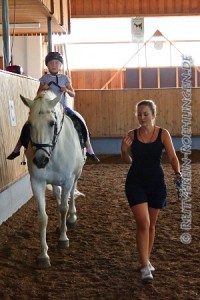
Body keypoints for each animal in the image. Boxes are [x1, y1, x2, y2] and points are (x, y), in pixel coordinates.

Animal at [19, 91, 85, 268]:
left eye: (51, 123)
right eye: (29, 124)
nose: (40, 160)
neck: (54, 152)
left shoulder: (68, 181)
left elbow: (63, 208)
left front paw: (63, 238)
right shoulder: (37, 183)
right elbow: (43, 217)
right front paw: (43, 255)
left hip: (76, 174)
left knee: (70, 197)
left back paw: (72, 218)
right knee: (57, 196)